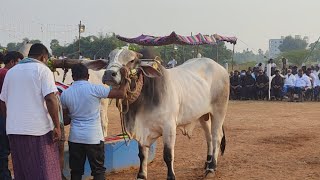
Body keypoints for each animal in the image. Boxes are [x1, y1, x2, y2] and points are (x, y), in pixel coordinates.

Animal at [101, 48, 229, 180]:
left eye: (131, 60)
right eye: (109, 58)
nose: (109, 73)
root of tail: (220, 68)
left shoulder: (169, 127)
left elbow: (168, 155)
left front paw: (171, 176)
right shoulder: (142, 130)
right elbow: (142, 155)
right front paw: (141, 175)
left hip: (219, 111)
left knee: (216, 137)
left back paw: (211, 168)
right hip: (204, 116)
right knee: (209, 137)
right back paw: (207, 163)